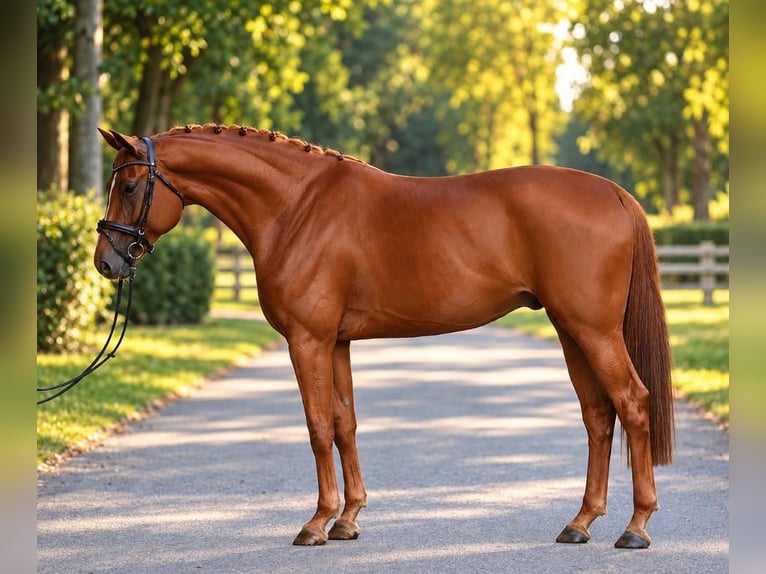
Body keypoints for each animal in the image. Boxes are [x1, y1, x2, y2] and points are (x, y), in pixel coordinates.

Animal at [94, 123, 674, 549]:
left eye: (129, 186)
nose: (106, 262)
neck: (296, 206)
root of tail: (614, 193)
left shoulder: (307, 340)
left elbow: (316, 428)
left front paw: (315, 524)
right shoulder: (336, 342)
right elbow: (344, 423)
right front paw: (348, 519)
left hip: (593, 331)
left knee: (632, 402)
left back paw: (636, 528)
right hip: (571, 331)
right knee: (598, 416)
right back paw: (580, 523)